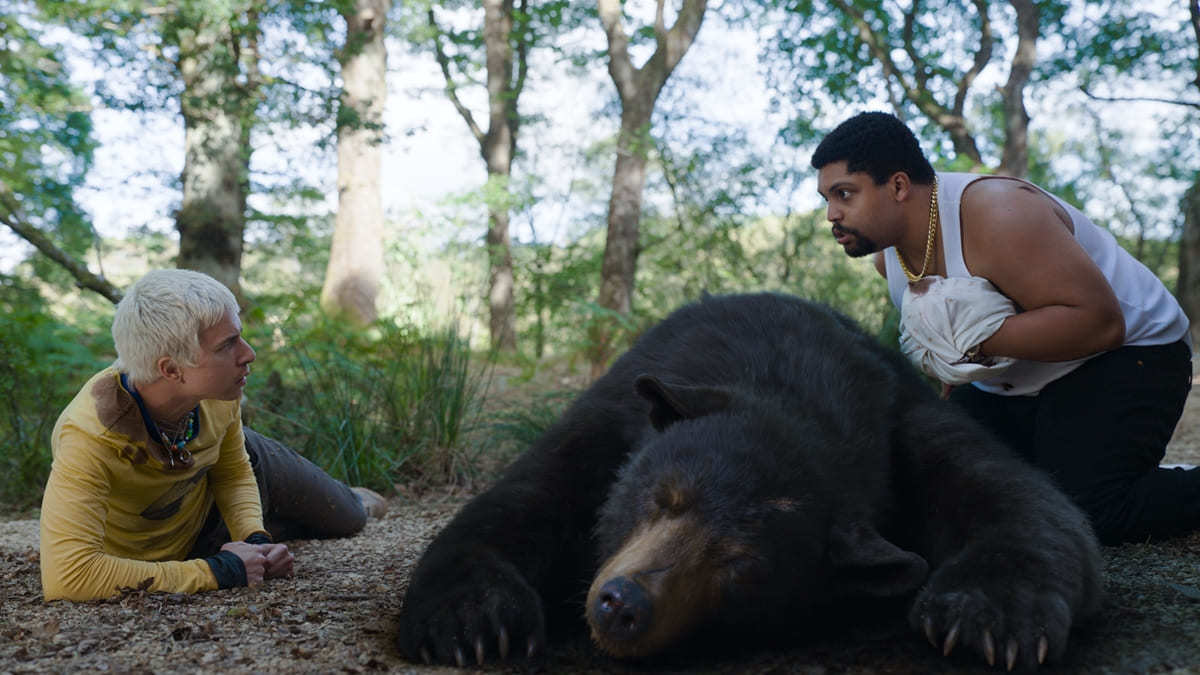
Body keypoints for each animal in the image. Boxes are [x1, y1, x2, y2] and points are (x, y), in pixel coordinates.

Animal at [398, 293, 1099, 667]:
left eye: (740, 564)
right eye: (661, 499)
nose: (623, 603)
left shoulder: (905, 418)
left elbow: (1027, 502)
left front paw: (988, 617)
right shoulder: (615, 413)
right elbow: (525, 498)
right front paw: (475, 620)